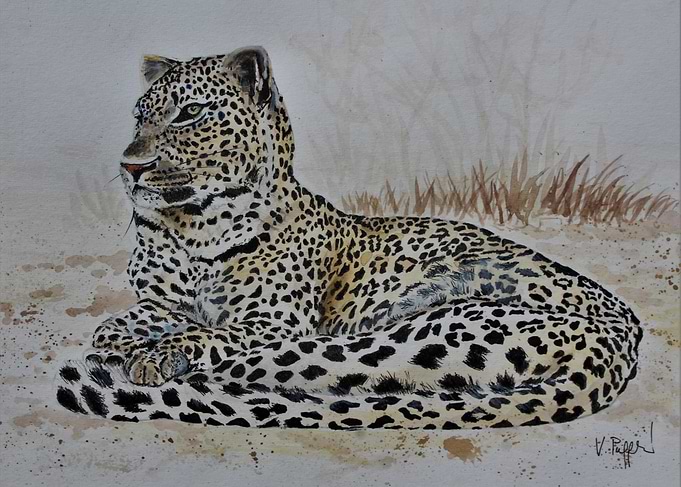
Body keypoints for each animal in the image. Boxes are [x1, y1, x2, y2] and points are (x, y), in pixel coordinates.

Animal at [55, 46, 642, 430]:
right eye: (139, 117)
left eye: (191, 113)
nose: (130, 166)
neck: (189, 229)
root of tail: (621, 344)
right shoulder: (162, 299)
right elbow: (128, 319)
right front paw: (125, 333)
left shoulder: (273, 321)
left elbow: (210, 334)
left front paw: (157, 351)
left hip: (396, 333)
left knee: (248, 367)